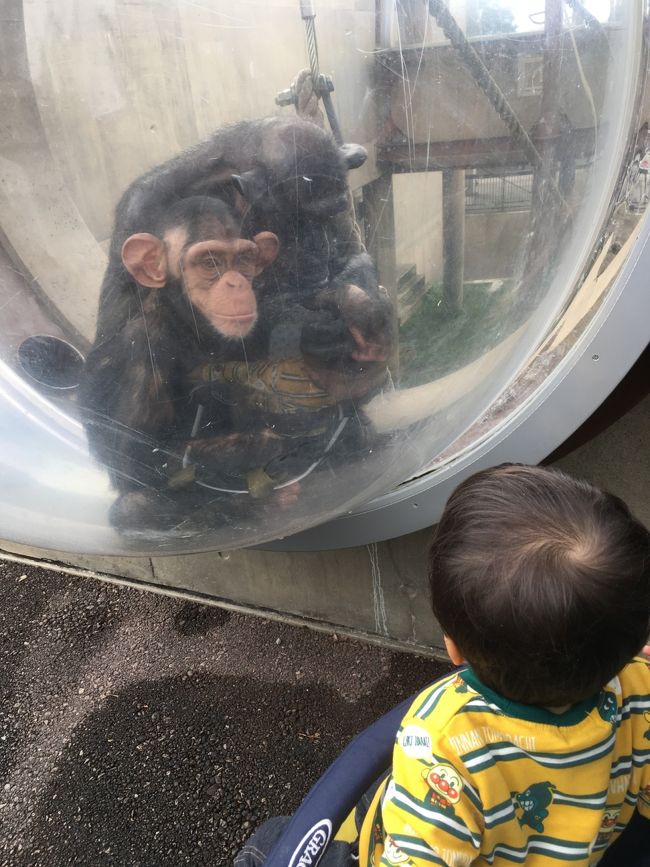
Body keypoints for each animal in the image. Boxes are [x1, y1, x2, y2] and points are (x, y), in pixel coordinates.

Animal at [78, 196, 388, 528]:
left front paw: (350, 308)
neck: (187, 324)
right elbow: (134, 458)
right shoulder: (140, 345)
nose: (237, 284)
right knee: (135, 506)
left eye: (244, 260)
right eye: (210, 262)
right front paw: (285, 430)